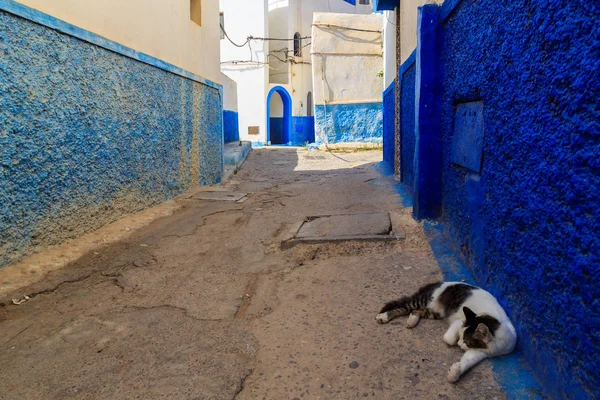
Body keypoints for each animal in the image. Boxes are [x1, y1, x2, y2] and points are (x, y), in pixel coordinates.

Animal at [376, 280, 516, 382]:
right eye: (462, 338)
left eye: (467, 341)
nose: (460, 345)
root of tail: (440, 282)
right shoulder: (459, 321)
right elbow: (449, 338)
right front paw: (454, 343)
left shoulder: (480, 352)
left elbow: (467, 361)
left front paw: (455, 372)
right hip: (423, 301)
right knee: (402, 306)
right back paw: (384, 316)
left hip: (435, 313)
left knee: (416, 311)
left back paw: (412, 320)